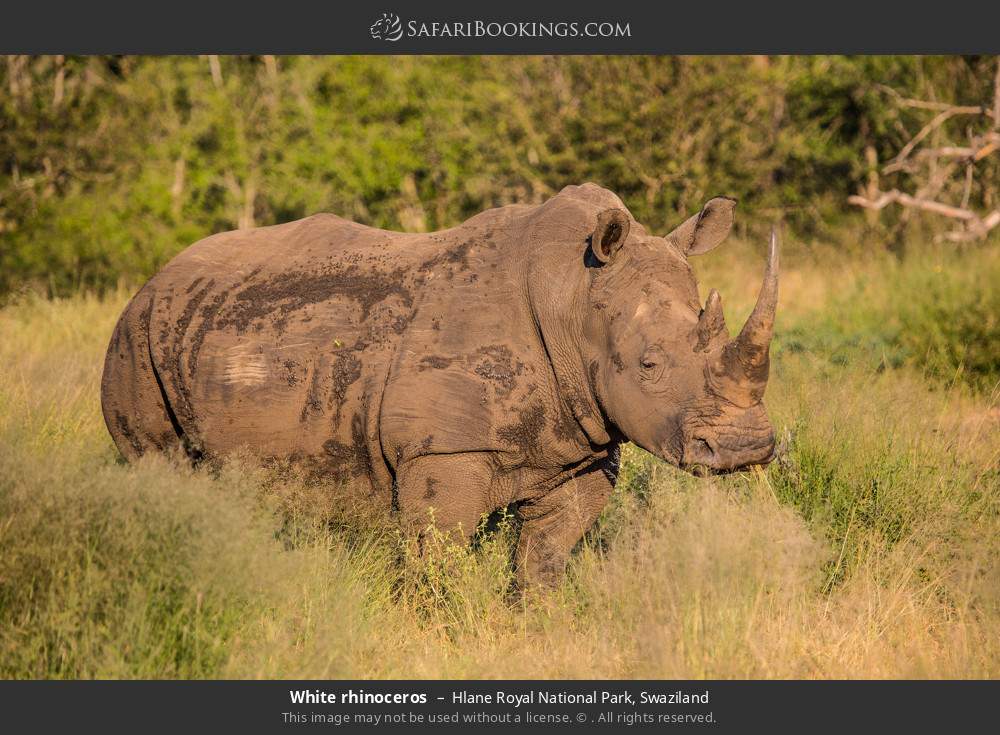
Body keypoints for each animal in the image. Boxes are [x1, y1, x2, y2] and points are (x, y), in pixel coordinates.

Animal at [101, 183, 778, 585]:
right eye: (648, 366)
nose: (747, 448)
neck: (572, 295)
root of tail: (153, 278)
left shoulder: (583, 447)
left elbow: (546, 557)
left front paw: (537, 621)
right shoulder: (442, 450)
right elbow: (439, 554)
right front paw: (441, 628)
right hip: (136, 337)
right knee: (160, 465)